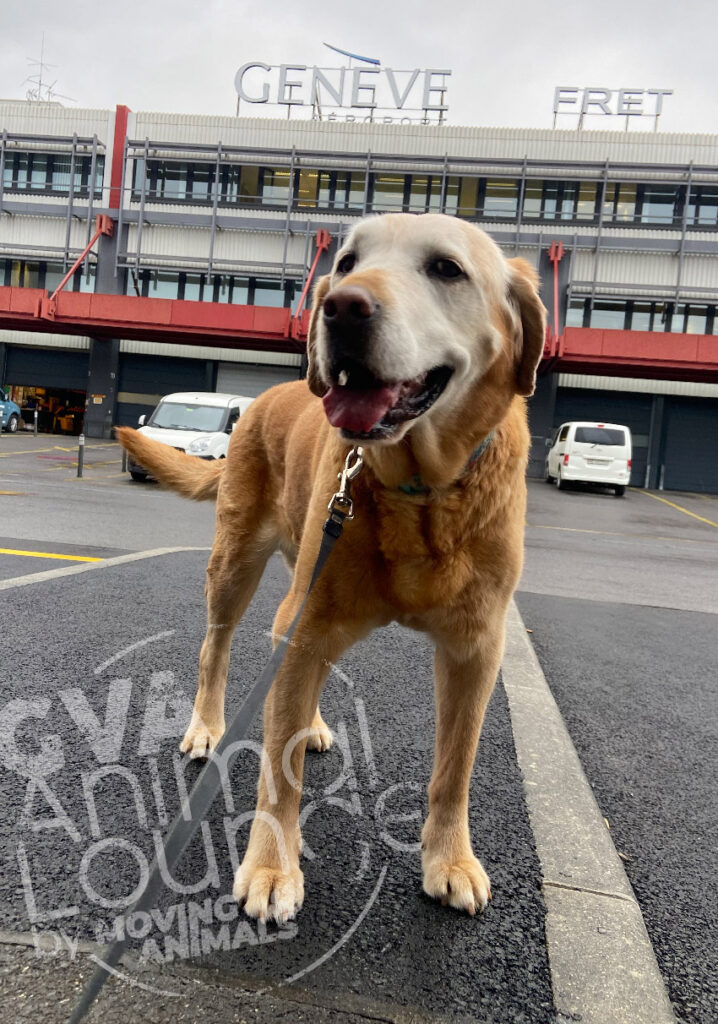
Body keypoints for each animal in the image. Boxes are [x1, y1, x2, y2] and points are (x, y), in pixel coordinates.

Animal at [116, 214, 544, 929]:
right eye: (347, 262)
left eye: (446, 268)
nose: (340, 307)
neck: (418, 491)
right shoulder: (305, 623)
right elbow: (279, 768)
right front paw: (270, 868)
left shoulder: (476, 647)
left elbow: (454, 769)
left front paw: (450, 861)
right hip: (238, 565)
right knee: (216, 647)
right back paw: (207, 725)